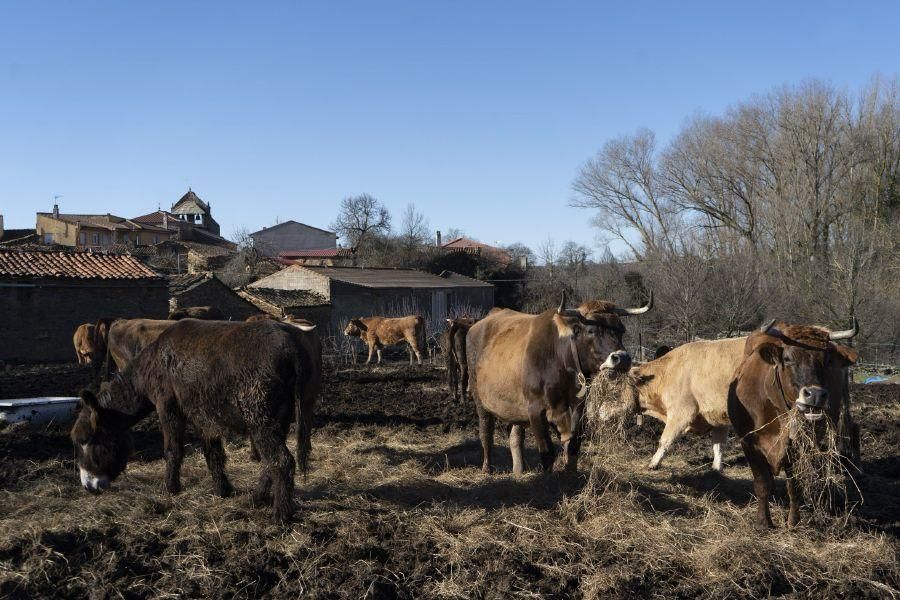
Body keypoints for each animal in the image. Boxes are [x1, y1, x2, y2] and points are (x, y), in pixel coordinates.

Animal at [72, 322, 322, 524]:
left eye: (86, 440)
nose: (87, 486)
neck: (152, 364)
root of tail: (292, 345)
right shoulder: (204, 418)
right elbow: (212, 454)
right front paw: (222, 490)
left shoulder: (168, 408)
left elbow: (172, 450)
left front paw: (171, 489)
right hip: (278, 418)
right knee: (271, 463)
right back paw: (255, 498)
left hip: (261, 419)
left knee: (281, 461)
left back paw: (280, 515)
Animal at [464, 290, 652, 474]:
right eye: (591, 330)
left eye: (621, 330)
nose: (623, 358)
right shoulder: (535, 411)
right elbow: (547, 452)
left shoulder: (578, 410)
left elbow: (573, 447)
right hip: (480, 399)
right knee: (486, 432)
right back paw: (487, 468)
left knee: (515, 436)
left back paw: (519, 471)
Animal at [724, 318, 856, 528]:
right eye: (787, 358)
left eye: (827, 360)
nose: (815, 395)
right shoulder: (748, 442)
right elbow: (762, 483)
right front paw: (763, 522)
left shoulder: (795, 446)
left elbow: (794, 484)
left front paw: (793, 521)